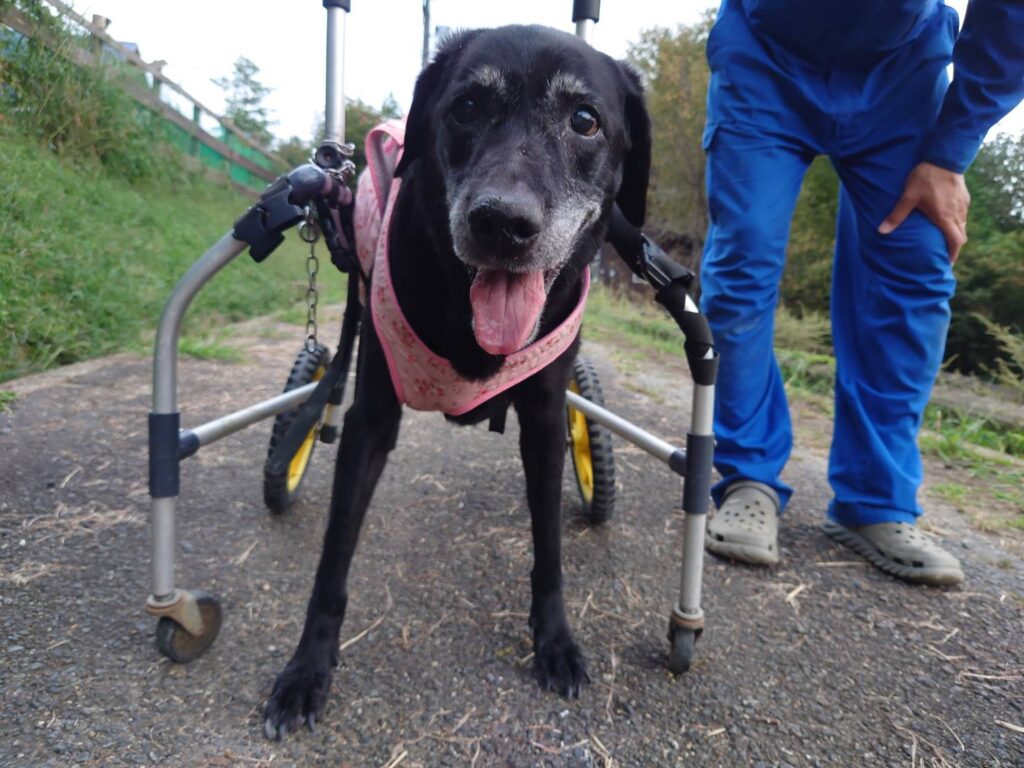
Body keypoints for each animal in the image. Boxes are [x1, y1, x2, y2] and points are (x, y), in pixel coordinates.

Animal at [263, 24, 650, 739]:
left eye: (585, 120)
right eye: (466, 107)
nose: (502, 222)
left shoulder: (545, 419)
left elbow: (549, 545)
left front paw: (555, 642)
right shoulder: (371, 419)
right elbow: (335, 552)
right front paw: (307, 670)